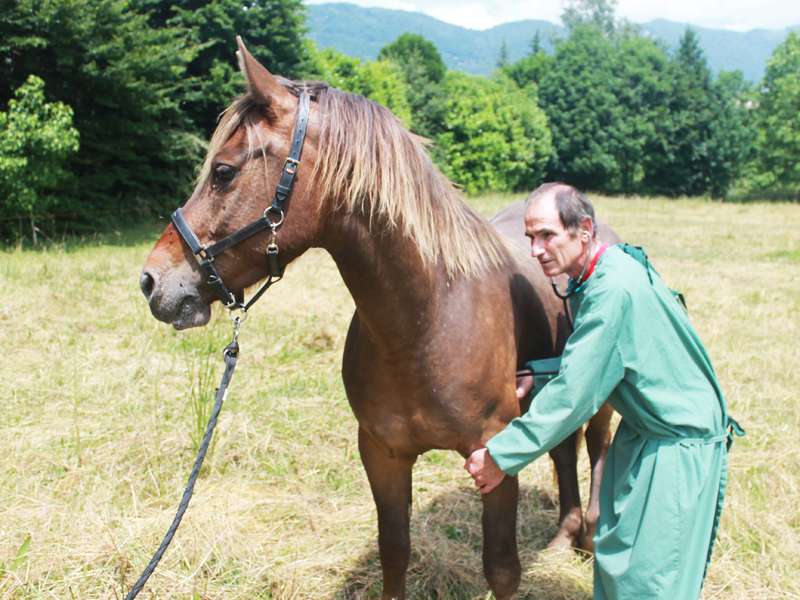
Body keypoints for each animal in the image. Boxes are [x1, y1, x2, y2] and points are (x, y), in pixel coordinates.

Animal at [141, 38, 616, 600]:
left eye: (223, 172)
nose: (152, 281)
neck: (424, 324)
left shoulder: (493, 457)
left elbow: (501, 567)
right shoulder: (382, 454)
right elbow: (395, 552)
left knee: (595, 448)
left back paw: (590, 536)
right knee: (563, 450)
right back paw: (565, 536)